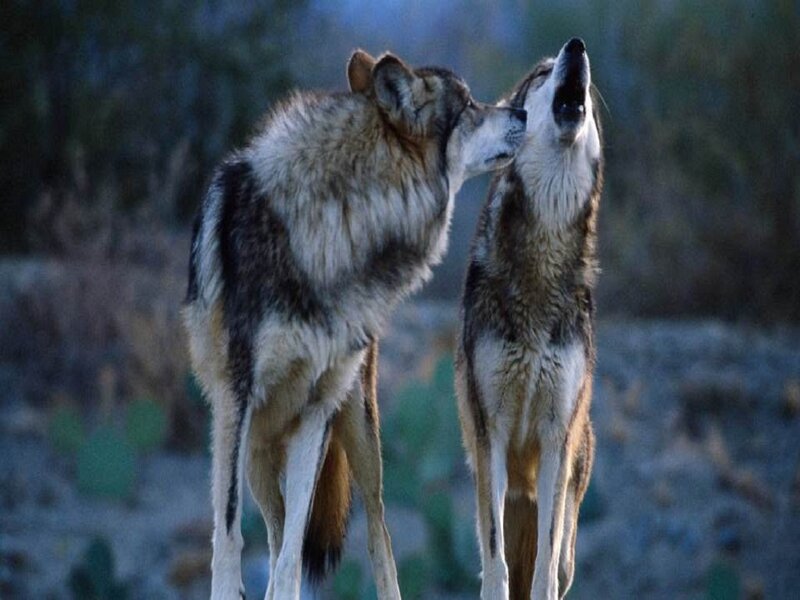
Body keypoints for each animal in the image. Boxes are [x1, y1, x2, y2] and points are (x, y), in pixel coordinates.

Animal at [183, 48, 526, 600]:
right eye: (471, 107)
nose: (522, 111)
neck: (344, 218)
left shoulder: (316, 408)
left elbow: (293, 557)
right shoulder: (236, 401)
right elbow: (232, 534)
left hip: (359, 434)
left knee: (374, 536)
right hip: (256, 446)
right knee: (272, 534)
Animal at [455, 38, 603, 600]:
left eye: (591, 91)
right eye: (541, 74)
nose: (577, 46)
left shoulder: (557, 435)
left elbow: (544, 560)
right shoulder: (490, 432)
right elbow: (495, 559)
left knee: (558, 562)